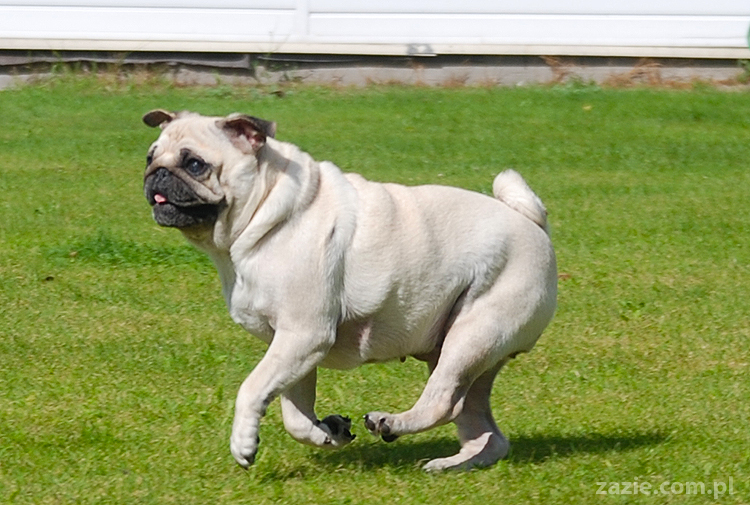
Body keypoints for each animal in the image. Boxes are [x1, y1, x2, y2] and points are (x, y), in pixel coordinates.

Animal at [142, 109, 557, 471]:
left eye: (195, 164)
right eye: (149, 156)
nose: (156, 174)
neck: (267, 210)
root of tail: (531, 223)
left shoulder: (304, 334)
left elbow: (252, 388)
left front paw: (243, 442)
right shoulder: (293, 345)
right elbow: (293, 413)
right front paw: (327, 433)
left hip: (471, 336)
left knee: (443, 403)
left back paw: (392, 423)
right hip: (467, 352)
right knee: (484, 431)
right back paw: (452, 465)